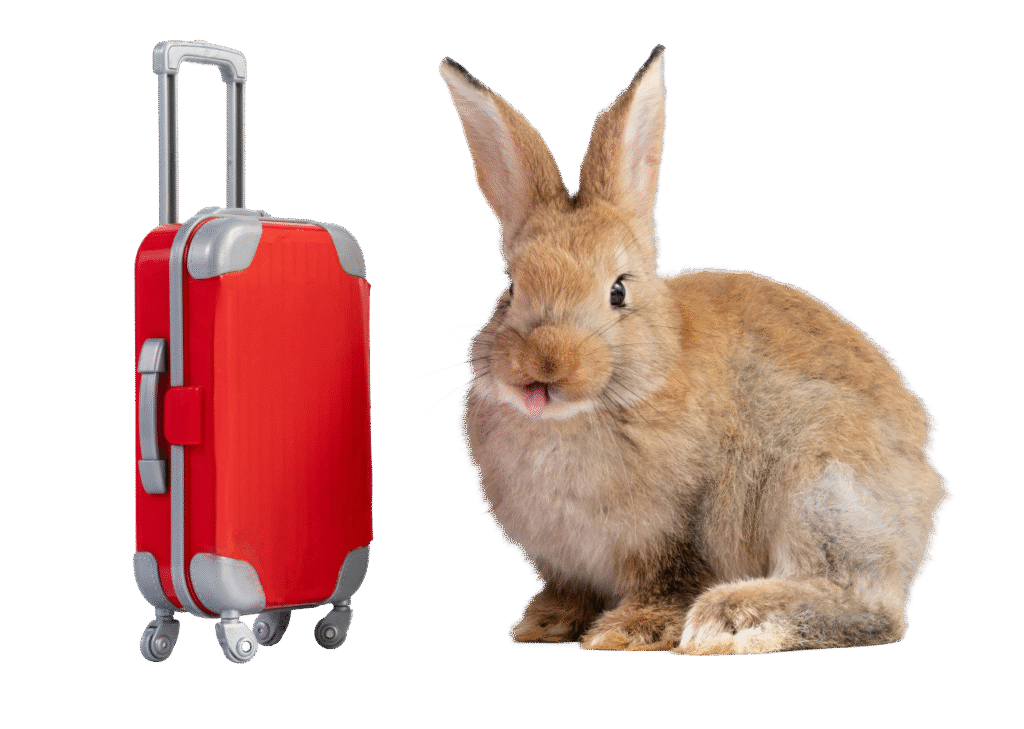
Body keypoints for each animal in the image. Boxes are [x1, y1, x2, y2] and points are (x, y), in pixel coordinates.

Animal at [439, 45, 947, 654]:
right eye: (511, 288)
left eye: (618, 291)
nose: (543, 367)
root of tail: (921, 486)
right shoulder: (562, 561)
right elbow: (569, 591)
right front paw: (544, 624)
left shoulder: (674, 535)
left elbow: (666, 582)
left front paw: (625, 632)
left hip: (821, 485)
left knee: (867, 607)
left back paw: (729, 620)